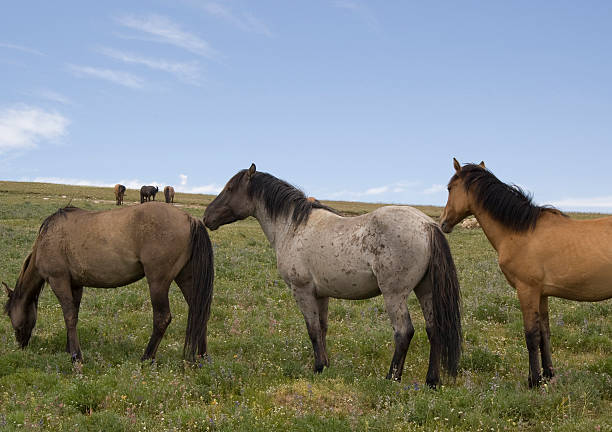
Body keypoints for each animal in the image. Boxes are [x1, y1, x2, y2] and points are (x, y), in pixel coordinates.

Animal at [2, 202, 213, 362]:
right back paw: (202, 358)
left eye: (9, 314)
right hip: (186, 278)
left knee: (162, 318)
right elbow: (73, 315)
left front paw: (76, 357)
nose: (20, 344)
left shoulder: (58, 281)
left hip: (158, 282)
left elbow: (69, 316)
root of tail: (190, 219)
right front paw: (70, 348)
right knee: (199, 311)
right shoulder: (75, 285)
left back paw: (146, 358)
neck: (46, 239)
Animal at [203, 164, 462, 386]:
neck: (292, 227)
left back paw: (392, 378)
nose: (207, 217)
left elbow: (312, 330)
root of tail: (427, 225)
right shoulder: (321, 294)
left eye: (230, 189)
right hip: (425, 290)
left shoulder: (302, 291)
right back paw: (432, 381)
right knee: (434, 330)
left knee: (404, 332)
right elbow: (323, 328)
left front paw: (317, 367)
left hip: (394, 294)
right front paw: (325, 365)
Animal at [440, 159, 612, 388]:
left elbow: (531, 335)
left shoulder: (526, 290)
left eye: (450, 188)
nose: (443, 223)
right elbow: (544, 334)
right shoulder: (542, 294)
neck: (520, 232)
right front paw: (548, 375)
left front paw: (534, 380)